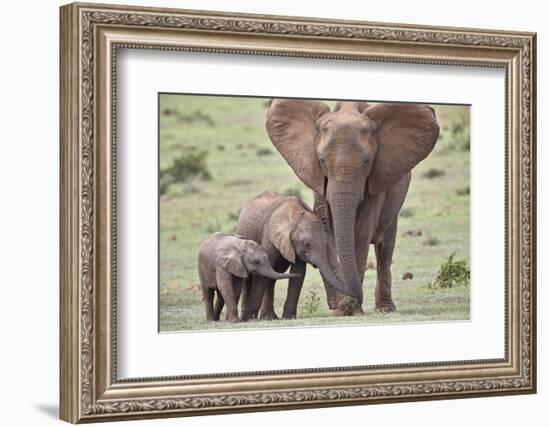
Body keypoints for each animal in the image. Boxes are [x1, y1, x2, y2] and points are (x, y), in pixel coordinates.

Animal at [236, 191, 350, 320]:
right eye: (307, 244)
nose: (334, 306)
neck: (295, 214)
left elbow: (299, 272)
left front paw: (289, 317)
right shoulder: (270, 236)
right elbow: (263, 274)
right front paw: (249, 318)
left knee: (273, 277)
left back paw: (269, 317)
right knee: (251, 278)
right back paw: (250, 317)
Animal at [266, 99, 442, 314]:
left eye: (366, 162)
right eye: (322, 161)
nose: (337, 303)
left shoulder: (376, 178)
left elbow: (360, 232)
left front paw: (349, 308)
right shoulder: (318, 180)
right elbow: (326, 227)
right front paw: (342, 309)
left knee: (386, 247)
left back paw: (385, 308)